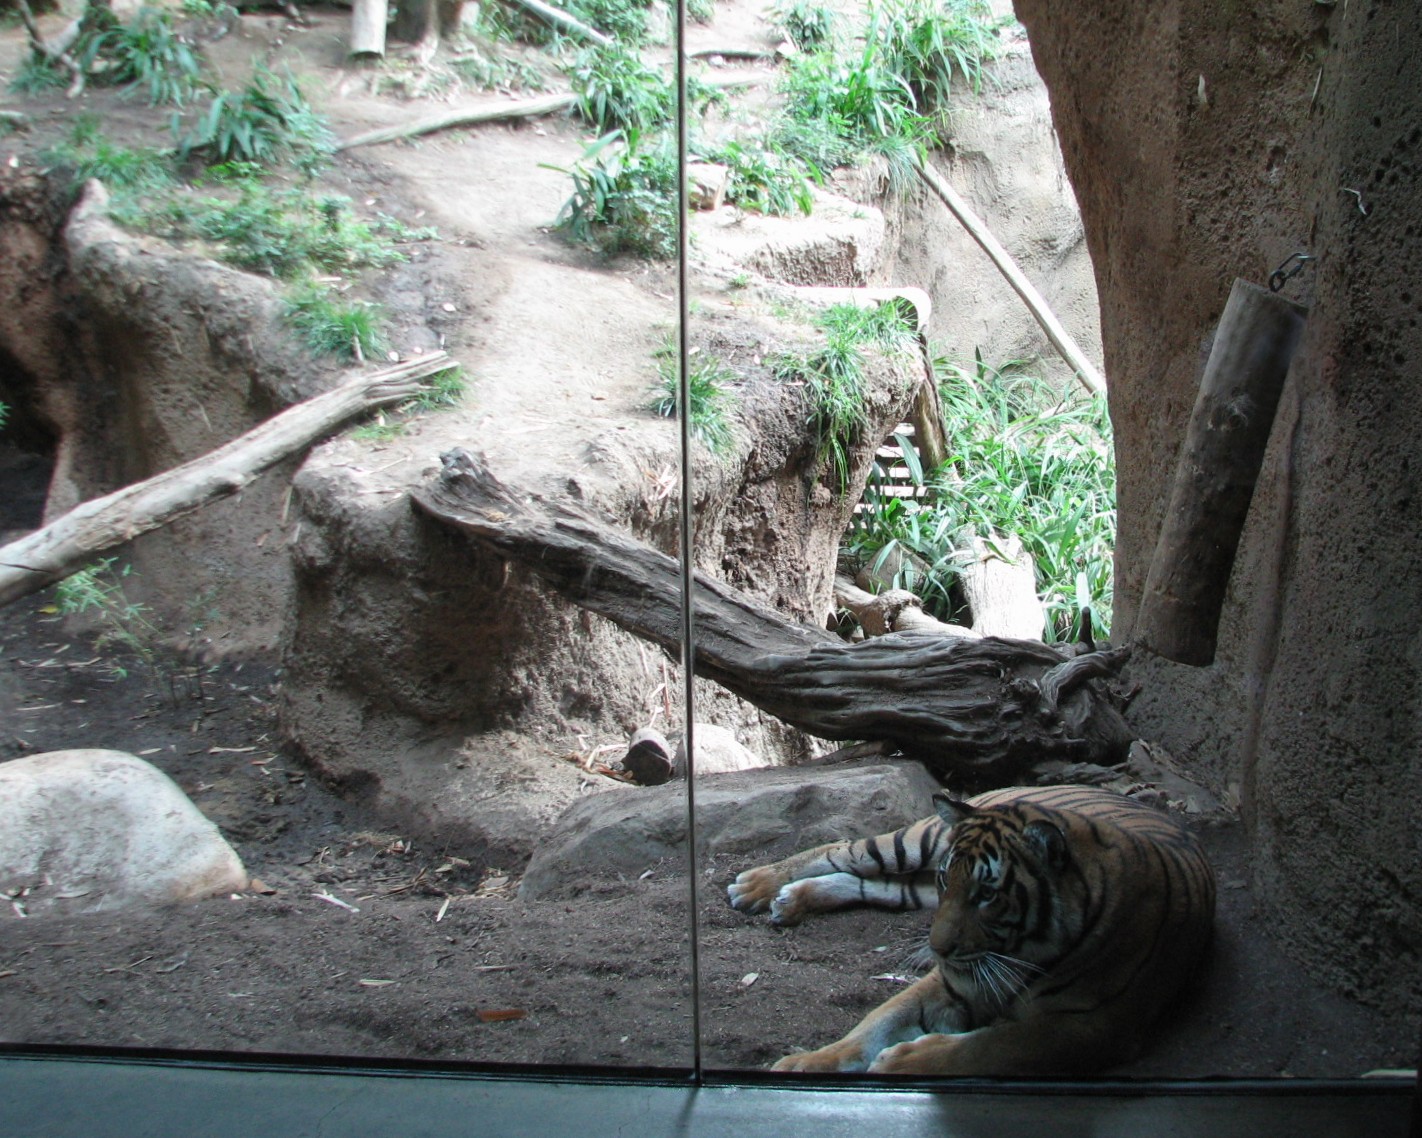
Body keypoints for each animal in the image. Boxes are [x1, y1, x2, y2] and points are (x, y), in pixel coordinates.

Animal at [727, 784, 1216, 1076]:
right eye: (951, 880)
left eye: (987, 894)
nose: (938, 950)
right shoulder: (950, 981)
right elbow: (875, 1021)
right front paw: (805, 1065)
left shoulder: (1096, 1025)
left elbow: (993, 1046)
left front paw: (901, 1062)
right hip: (917, 846)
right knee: (844, 848)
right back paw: (758, 886)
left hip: (917, 891)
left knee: (867, 881)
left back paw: (790, 899)